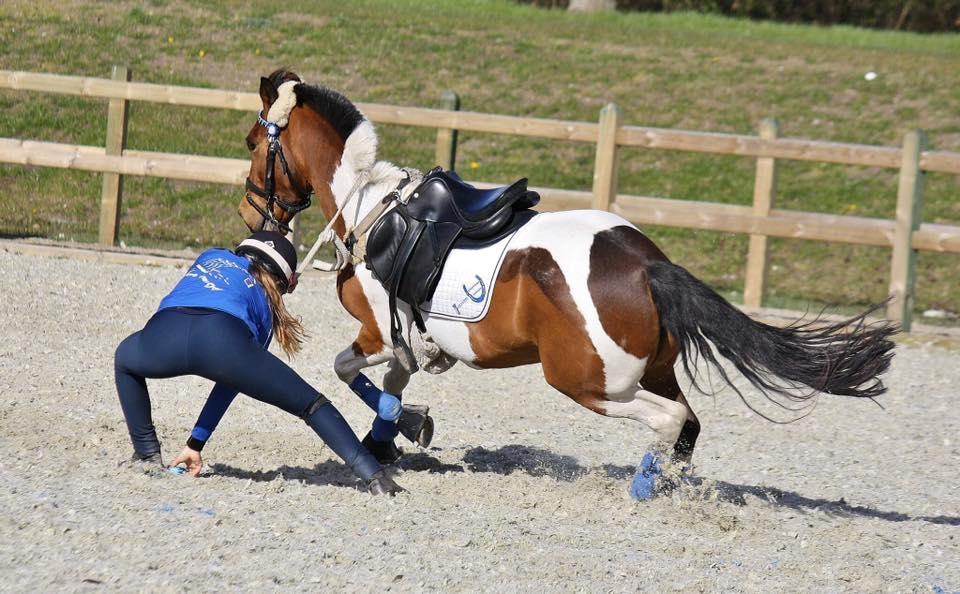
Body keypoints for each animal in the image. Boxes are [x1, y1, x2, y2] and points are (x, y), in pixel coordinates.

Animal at [236, 68, 896, 494]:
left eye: (251, 143)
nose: (249, 211)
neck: (370, 206)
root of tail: (646, 265)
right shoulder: (402, 341)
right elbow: (393, 388)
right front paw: (393, 434)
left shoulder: (376, 333)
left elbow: (346, 371)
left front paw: (404, 428)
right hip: (654, 369)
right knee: (689, 423)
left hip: (588, 382)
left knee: (668, 421)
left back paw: (643, 487)